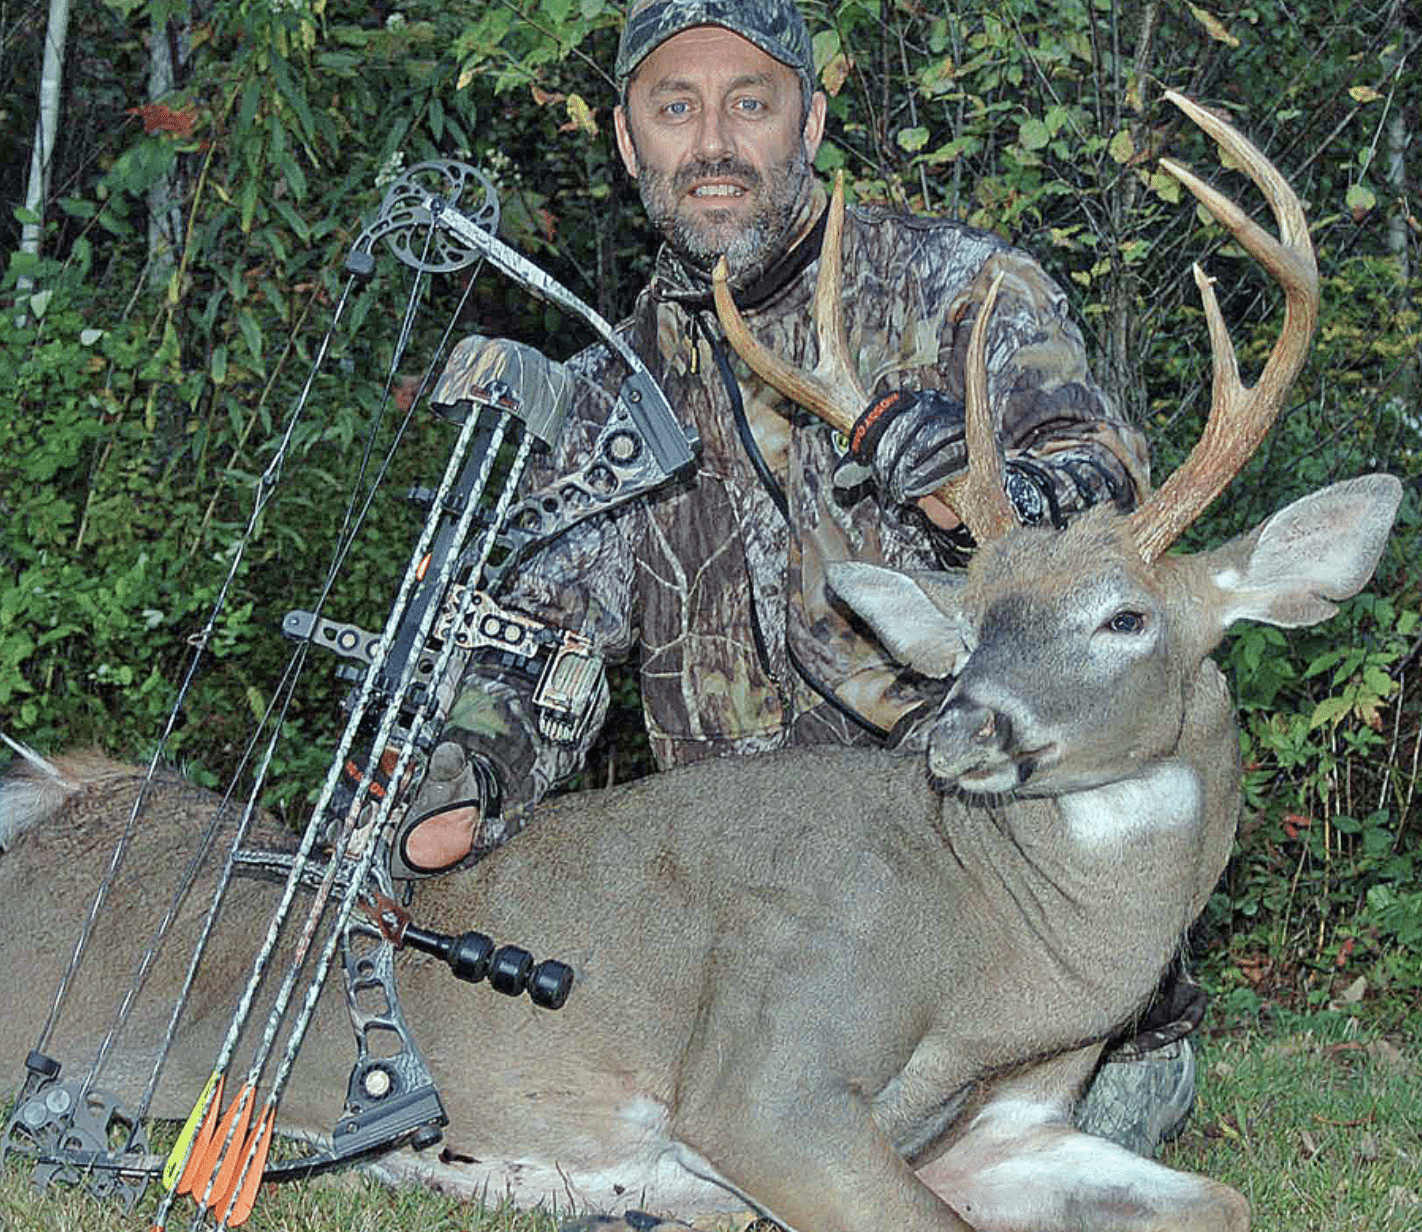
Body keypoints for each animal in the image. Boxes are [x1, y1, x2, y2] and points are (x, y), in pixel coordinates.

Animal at [0, 93, 1403, 1232]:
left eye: (1126, 618)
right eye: (978, 621)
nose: (966, 729)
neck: (1002, 957)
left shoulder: (1011, 1134)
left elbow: (1221, 1197)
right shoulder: (763, 1074)